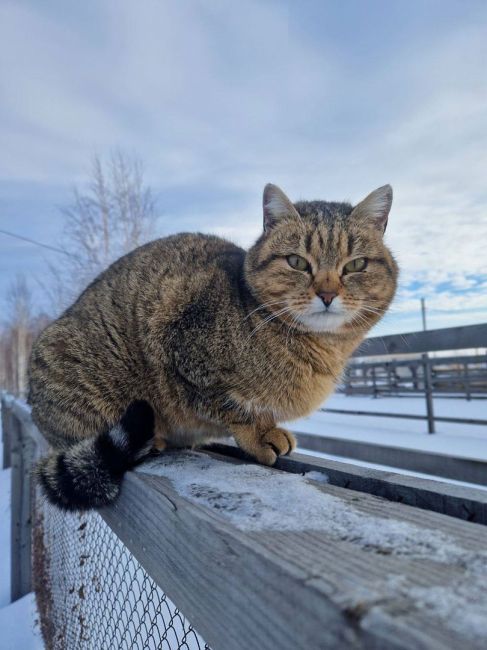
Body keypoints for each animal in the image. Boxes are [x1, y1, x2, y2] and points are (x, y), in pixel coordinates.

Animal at [28, 181, 398, 506]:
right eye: (297, 262)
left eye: (356, 265)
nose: (327, 294)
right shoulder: (181, 354)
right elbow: (234, 407)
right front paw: (261, 433)